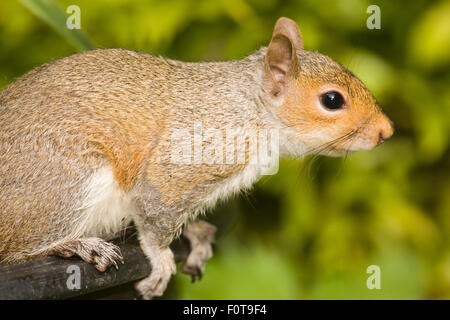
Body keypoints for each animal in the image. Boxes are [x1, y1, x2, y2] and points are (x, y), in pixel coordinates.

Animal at [0, 16, 394, 298]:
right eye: (332, 100)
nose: (386, 131)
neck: (251, 109)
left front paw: (197, 234)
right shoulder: (186, 159)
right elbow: (155, 216)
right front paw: (161, 262)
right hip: (66, 180)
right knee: (18, 249)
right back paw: (76, 245)